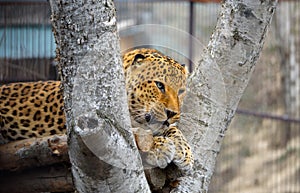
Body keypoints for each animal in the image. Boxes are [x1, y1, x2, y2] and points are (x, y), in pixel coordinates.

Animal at [0, 47, 195, 172]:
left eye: (181, 91)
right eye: (159, 85)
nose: (172, 113)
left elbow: (173, 129)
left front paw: (185, 152)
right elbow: (133, 133)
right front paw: (159, 148)